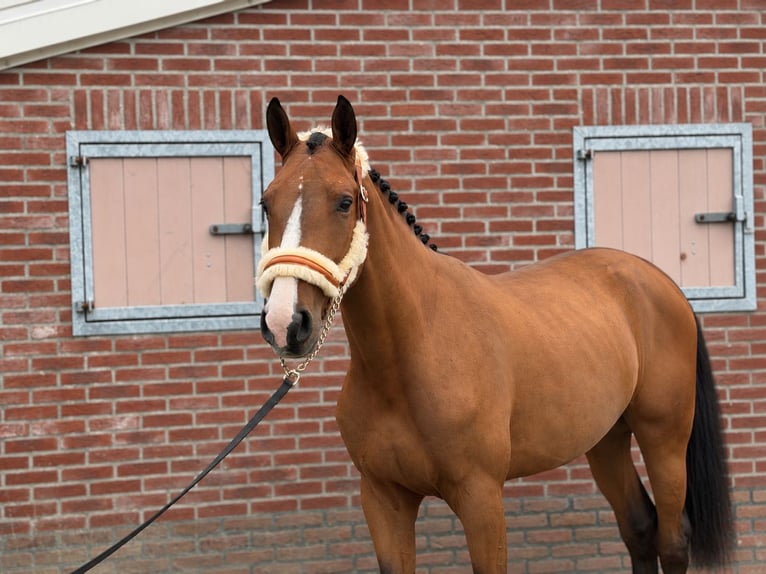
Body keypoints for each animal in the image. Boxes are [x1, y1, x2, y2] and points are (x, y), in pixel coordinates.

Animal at [255, 95, 734, 573]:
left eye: (343, 201)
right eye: (265, 204)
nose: (285, 322)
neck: (411, 355)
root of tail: (660, 280)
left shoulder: (481, 497)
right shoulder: (383, 498)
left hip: (664, 441)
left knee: (672, 539)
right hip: (606, 440)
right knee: (639, 528)